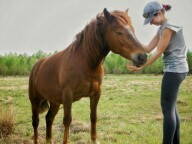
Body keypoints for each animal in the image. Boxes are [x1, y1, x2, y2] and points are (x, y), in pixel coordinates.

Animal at [27, 8, 146, 143]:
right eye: (119, 32)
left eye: (133, 30)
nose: (142, 57)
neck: (85, 62)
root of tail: (36, 66)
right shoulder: (68, 95)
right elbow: (67, 120)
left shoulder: (95, 94)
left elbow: (93, 117)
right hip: (35, 100)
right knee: (35, 122)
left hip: (55, 101)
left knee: (49, 118)